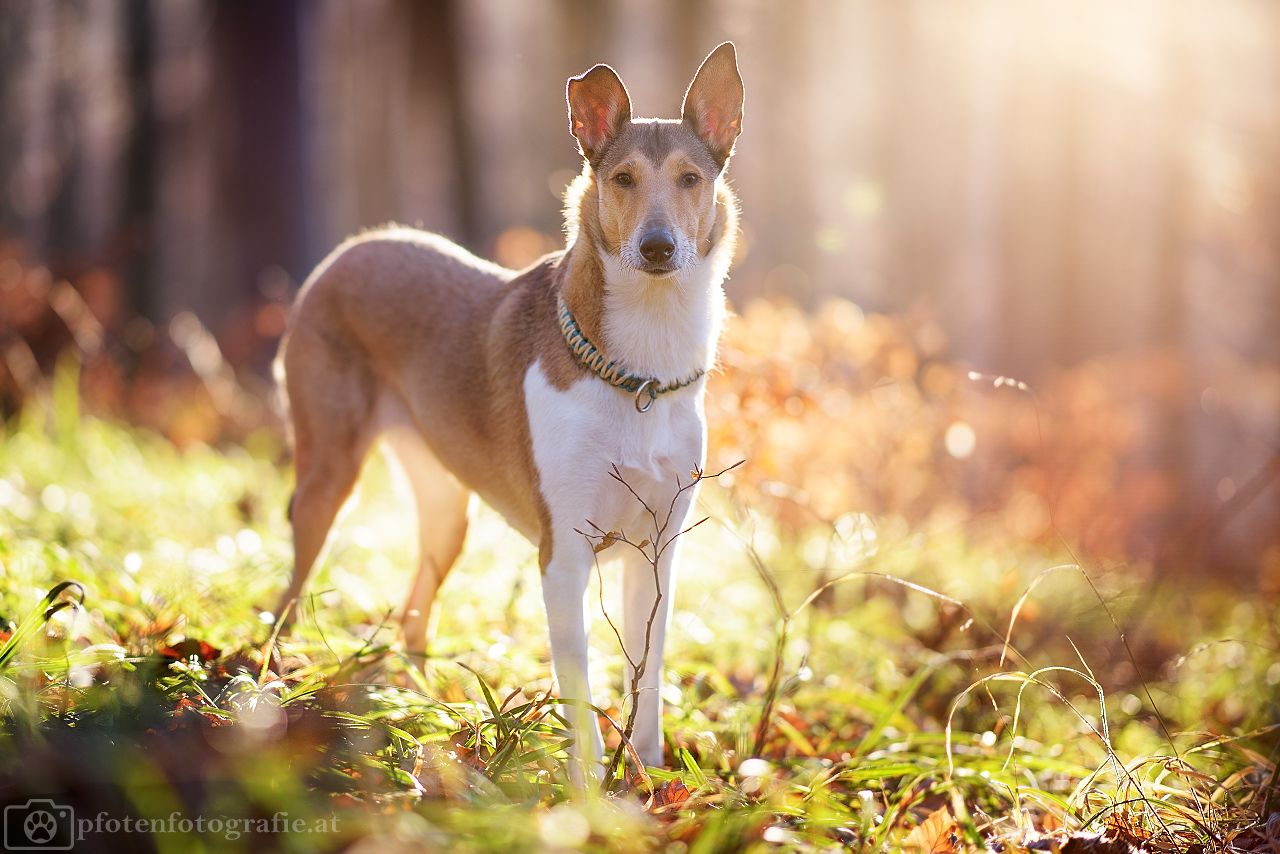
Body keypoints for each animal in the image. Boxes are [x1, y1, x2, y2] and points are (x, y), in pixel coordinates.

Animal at [275, 43, 747, 783]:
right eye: (623, 179)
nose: (658, 247)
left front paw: (646, 775)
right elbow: (580, 690)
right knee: (290, 592)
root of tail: (351, 248)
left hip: (447, 512)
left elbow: (646, 676)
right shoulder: (565, 553)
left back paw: (420, 713)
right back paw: (273, 689)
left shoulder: (657, 552)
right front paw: (589, 789)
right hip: (329, 474)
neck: (640, 377)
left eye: (691, 179)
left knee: (413, 615)